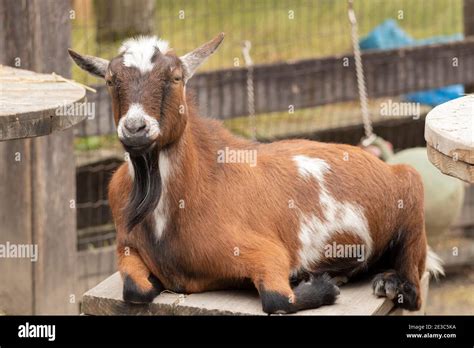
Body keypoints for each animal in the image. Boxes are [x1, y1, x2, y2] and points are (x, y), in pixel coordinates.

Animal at [68, 34, 442, 314]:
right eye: (110, 80)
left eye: (175, 78)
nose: (135, 128)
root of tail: (384, 164)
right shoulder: (126, 248)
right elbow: (135, 288)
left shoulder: (266, 253)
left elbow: (277, 298)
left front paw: (321, 284)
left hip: (412, 195)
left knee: (414, 288)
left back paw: (389, 282)